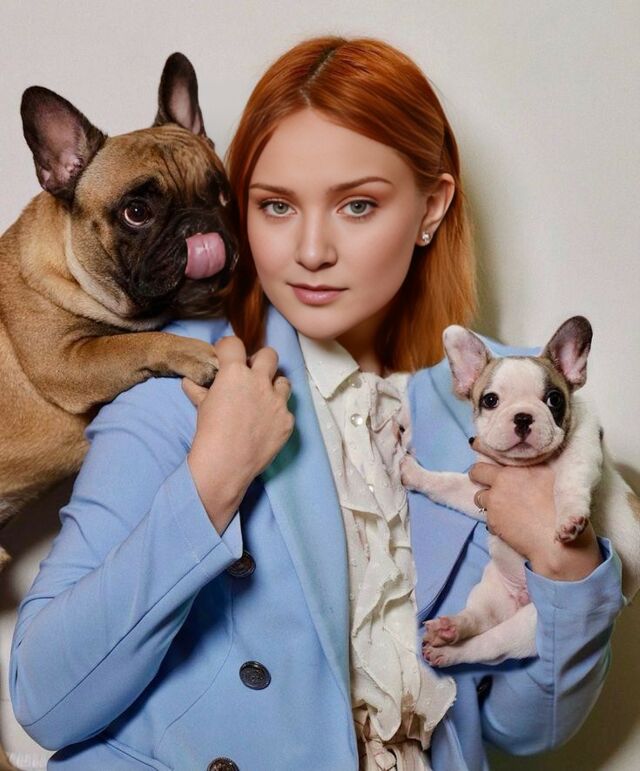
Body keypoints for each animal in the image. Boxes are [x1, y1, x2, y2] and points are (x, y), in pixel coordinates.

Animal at [0, 53, 237, 568]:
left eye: (222, 195)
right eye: (136, 212)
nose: (200, 225)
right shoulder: (65, 362)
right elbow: (134, 343)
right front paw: (193, 353)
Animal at [401, 316, 640, 667]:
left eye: (554, 399)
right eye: (490, 400)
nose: (523, 416)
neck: (526, 465)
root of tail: (519, 599)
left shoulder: (582, 451)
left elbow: (568, 481)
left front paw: (569, 520)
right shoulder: (480, 492)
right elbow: (447, 485)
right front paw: (415, 474)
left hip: (528, 629)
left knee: (488, 645)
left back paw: (450, 650)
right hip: (491, 592)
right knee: (480, 618)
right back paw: (451, 629)